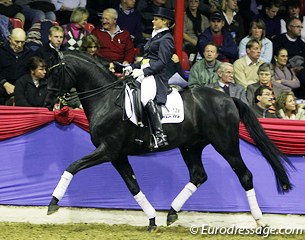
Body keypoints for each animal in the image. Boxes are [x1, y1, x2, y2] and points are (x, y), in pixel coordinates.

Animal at [44, 51, 292, 232]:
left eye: (55, 73)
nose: (46, 101)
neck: (106, 100)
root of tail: (228, 98)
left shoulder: (108, 150)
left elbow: (72, 166)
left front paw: (53, 204)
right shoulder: (117, 155)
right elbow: (133, 186)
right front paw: (152, 220)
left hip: (226, 144)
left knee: (245, 175)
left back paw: (260, 222)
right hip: (191, 146)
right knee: (198, 175)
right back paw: (172, 213)